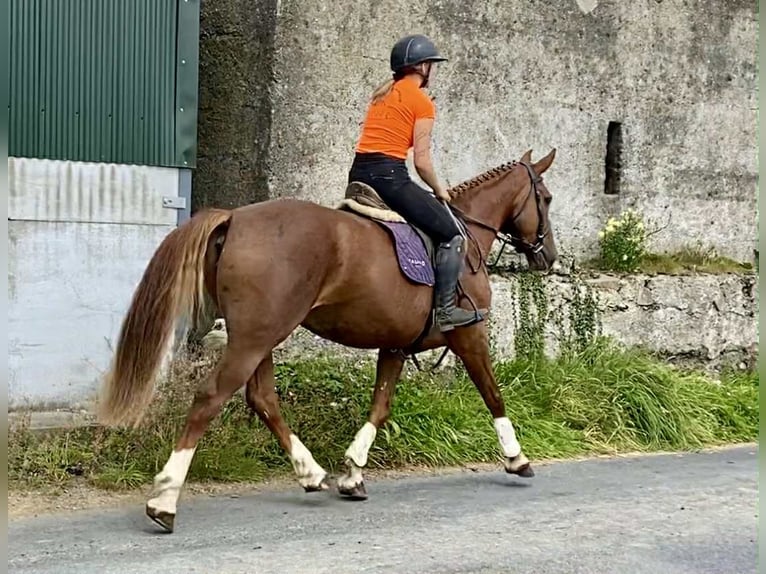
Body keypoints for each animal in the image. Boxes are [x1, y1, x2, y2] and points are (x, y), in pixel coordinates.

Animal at [97, 148, 559, 533]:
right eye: (548, 198)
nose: (549, 256)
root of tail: (236, 217)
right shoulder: (469, 335)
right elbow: (493, 394)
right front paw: (517, 457)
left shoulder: (394, 345)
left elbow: (380, 407)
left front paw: (353, 473)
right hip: (255, 338)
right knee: (211, 398)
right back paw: (164, 501)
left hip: (259, 336)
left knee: (263, 399)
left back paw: (310, 473)